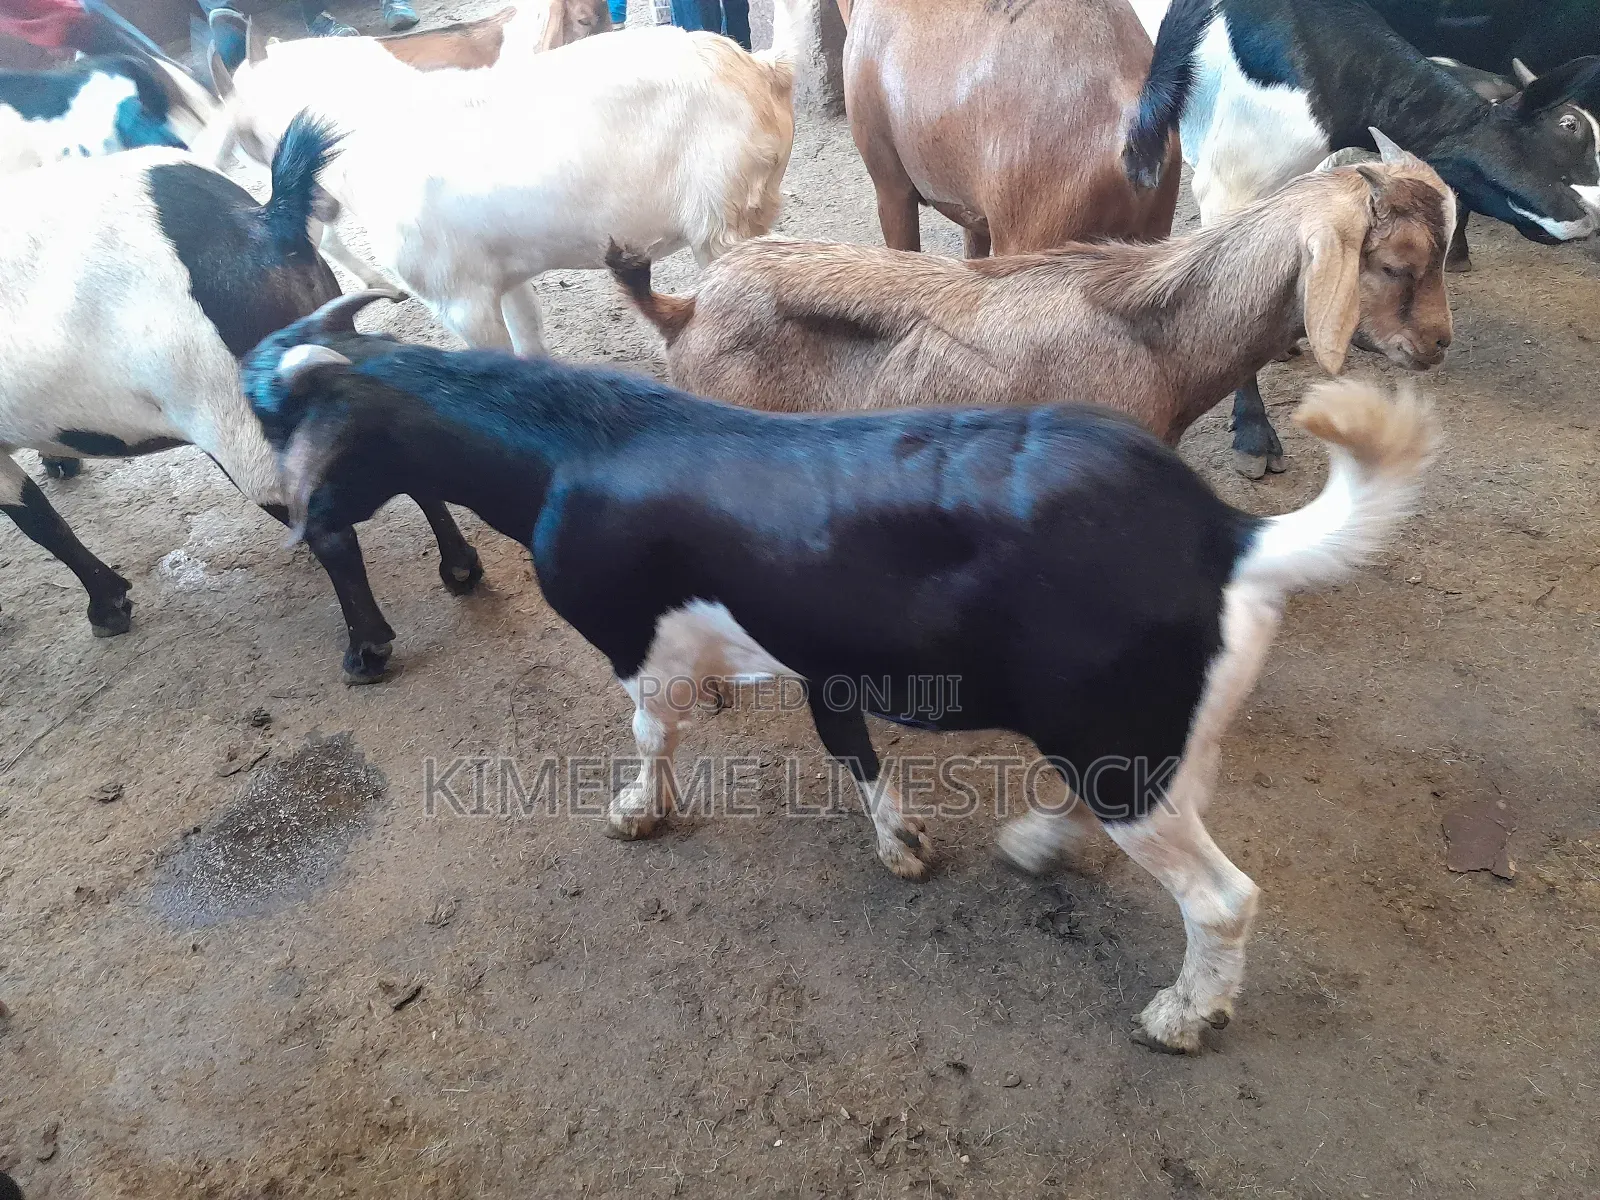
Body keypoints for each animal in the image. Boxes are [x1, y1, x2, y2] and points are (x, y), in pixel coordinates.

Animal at [0, 113, 483, 682]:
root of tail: (263, 220)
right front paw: (59, 463)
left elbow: (35, 519)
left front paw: (107, 604)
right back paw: (458, 568)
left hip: (236, 414)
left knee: (327, 526)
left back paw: (366, 651)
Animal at [202, 11, 801, 354]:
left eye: (255, 139)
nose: (316, 212)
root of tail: (762, 68)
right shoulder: (501, 278)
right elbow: (530, 339)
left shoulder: (459, 301)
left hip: (722, 219)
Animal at [244, 288, 1438, 1055]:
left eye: (275, 414)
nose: (276, 507)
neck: (572, 448)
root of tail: (1226, 537)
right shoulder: (820, 659)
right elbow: (846, 747)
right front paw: (902, 843)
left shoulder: (636, 643)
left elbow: (651, 732)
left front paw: (640, 811)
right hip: (1146, 739)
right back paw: (1039, 844)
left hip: (1123, 750)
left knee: (1223, 900)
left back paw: (1185, 1017)